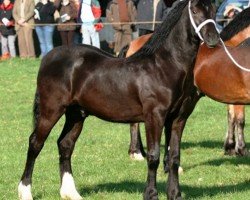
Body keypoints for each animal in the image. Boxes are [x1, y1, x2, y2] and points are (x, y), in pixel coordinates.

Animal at [17, 0, 219, 199]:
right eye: (194, 11)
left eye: (214, 9)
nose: (213, 38)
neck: (164, 66)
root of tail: (48, 57)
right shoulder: (154, 117)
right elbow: (154, 156)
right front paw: (150, 194)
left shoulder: (178, 119)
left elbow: (174, 157)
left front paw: (175, 194)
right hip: (51, 110)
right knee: (35, 143)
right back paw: (25, 191)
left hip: (76, 114)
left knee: (65, 145)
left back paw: (70, 193)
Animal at [125, 5, 250, 161]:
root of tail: (133, 44)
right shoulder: (238, 98)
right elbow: (240, 120)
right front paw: (241, 149)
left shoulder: (230, 96)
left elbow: (231, 118)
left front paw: (230, 148)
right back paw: (136, 152)